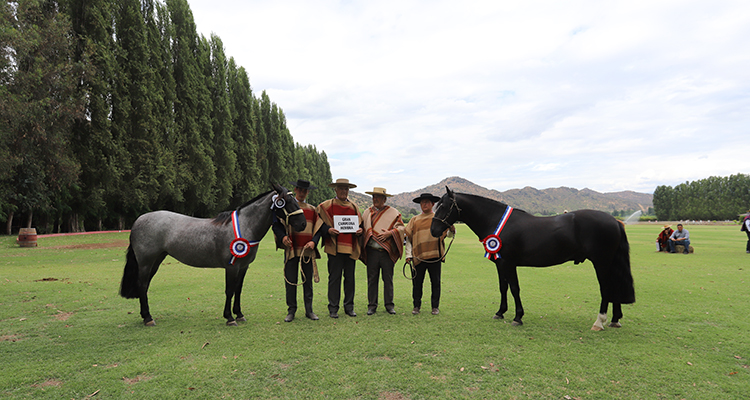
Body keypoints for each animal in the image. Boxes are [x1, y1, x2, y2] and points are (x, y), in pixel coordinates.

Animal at [119, 184, 306, 324]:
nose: (303, 224)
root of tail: (138, 220)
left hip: (156, 260)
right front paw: (229, 318)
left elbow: (238, 290)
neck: (244, 226)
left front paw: (239, 314)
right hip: (145, 262)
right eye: (287, 201)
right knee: (142, 285)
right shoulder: (231, 267)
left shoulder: (243, 267)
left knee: (144, 286)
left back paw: (145, 316)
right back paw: (148, 318)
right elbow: (229, 290)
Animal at [432, 186, 636, 330]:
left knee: (606, 287)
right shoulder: (500, 263)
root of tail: (615, 221)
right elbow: (503, 287)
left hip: (601, 263)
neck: (497, 221)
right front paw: (500, 312)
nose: (433, 231)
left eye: (445, 206)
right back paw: (615, 320)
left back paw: (599, 322)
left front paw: (518, 317)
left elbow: (514, 288)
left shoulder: (508, 263)